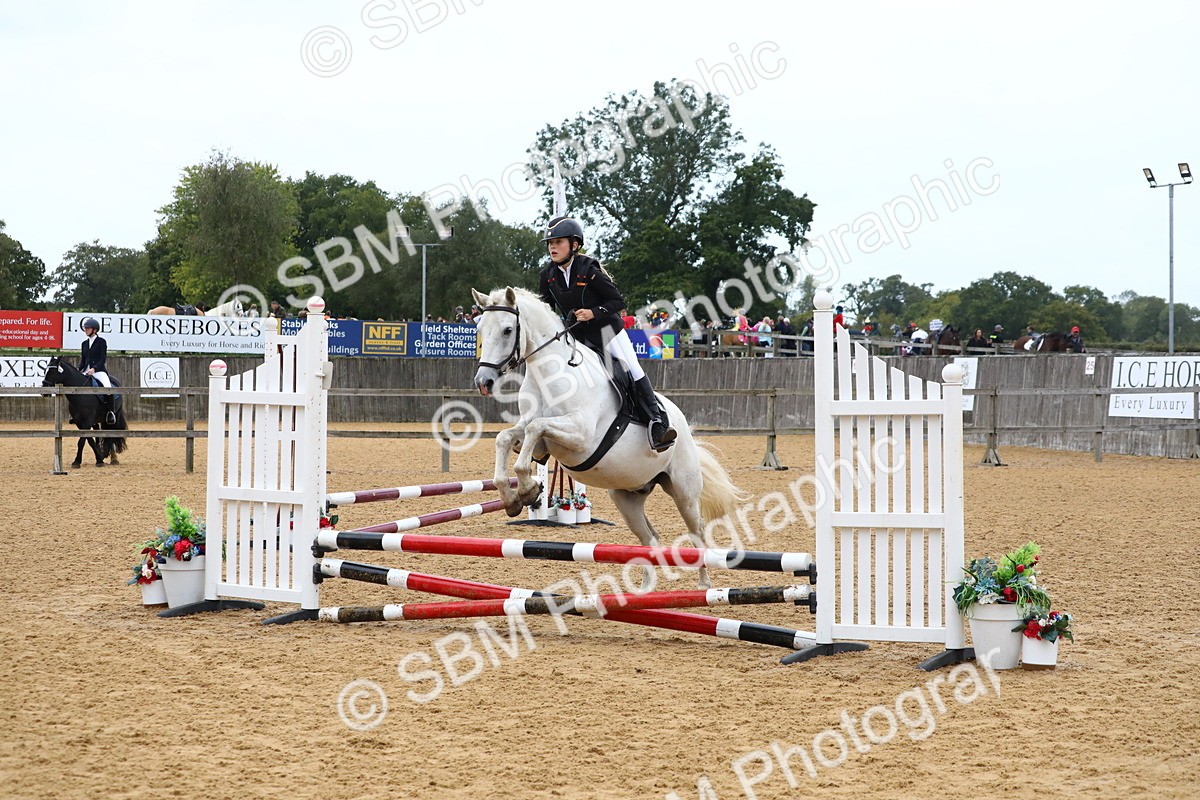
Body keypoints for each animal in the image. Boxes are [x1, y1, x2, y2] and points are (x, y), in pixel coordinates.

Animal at [471, 287, 746, 589]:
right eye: (480, 329)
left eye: (508, 330)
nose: (484, 382)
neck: (551, 374)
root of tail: (682, 427)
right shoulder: (535, 432)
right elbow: (507, 438)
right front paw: (513, 498)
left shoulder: (580, 435)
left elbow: (535, 430)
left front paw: (528, 489)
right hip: (627, 497)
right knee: (649, 537)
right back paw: (645, 589)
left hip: (683, 491)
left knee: (697, 532)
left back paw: (704, 585)